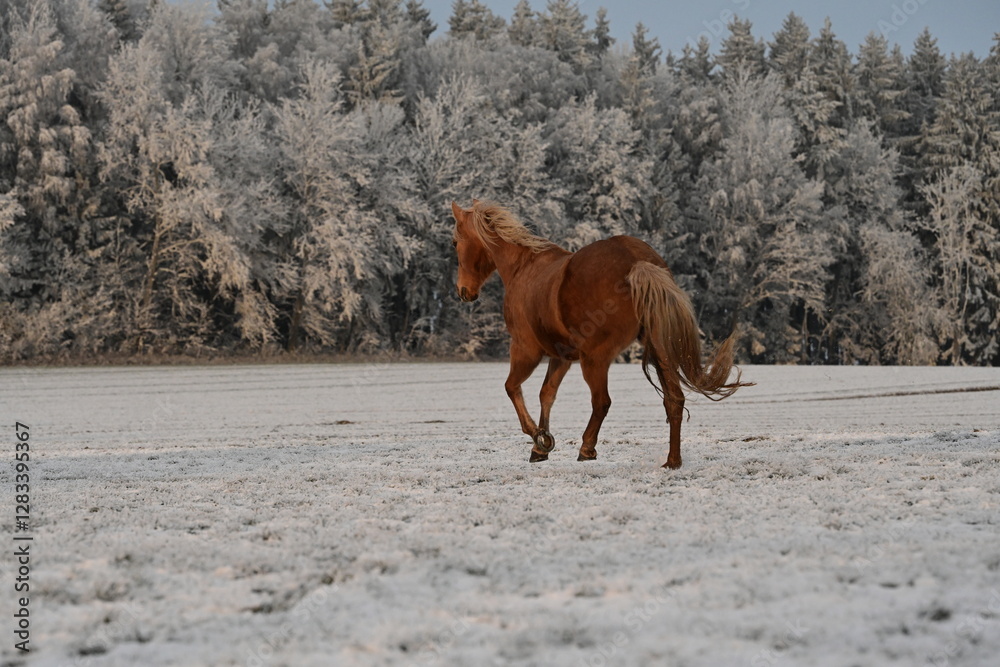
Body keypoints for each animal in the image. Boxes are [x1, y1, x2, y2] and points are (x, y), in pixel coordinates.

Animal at [451, 200, 752, 469]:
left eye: (455, 242)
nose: (464, 291)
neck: (524, 267)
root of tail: (637, 261)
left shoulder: (526, 350)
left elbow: (512, 388)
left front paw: (539, 436)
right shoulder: (561, 357)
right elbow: (546, 394)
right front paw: (541, 447)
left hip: (595, 360)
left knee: (602, 402)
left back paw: (587, 448)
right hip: (661, 351)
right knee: (674, 401)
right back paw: (672, 461)